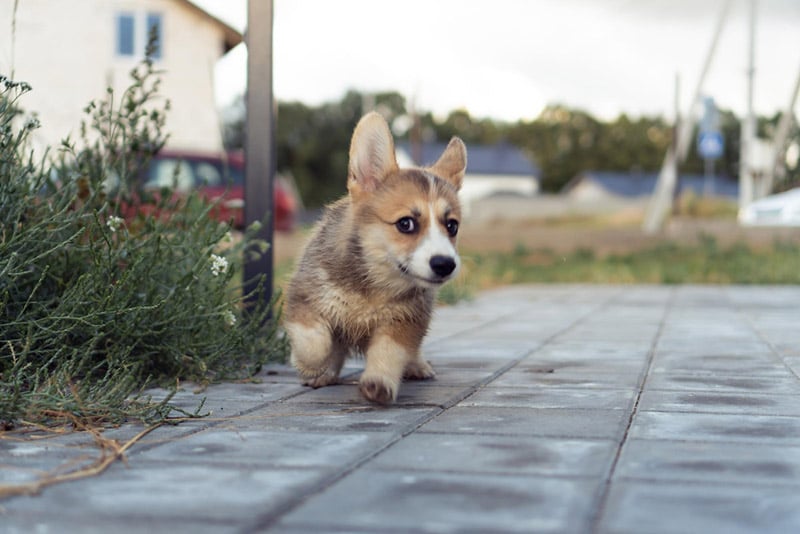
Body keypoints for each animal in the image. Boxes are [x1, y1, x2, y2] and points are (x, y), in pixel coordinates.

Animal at [284, 113, 466, 406]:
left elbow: (389, 353)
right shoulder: (304, 298)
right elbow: (315, 343)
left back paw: (417, 366)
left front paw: (379, 383)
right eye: (406, 223)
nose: (445, 264)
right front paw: (310, 366)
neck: (374, 285)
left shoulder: (404, 322)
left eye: (452, 226)